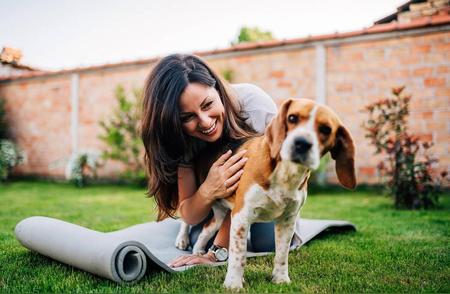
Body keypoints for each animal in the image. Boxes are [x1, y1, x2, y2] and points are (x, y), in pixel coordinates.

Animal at [176, 98, 356, 290]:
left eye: (326, 129)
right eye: (292, 118)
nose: (301, 143)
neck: (286, 173)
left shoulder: (287, 221)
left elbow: (282, 255)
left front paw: (281, 279)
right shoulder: (241, 217)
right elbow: (238, 255)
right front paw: (233, 284)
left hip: (220, 213)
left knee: (205, 229)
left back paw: (198, 251)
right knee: (186, 218)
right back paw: (182, 240)